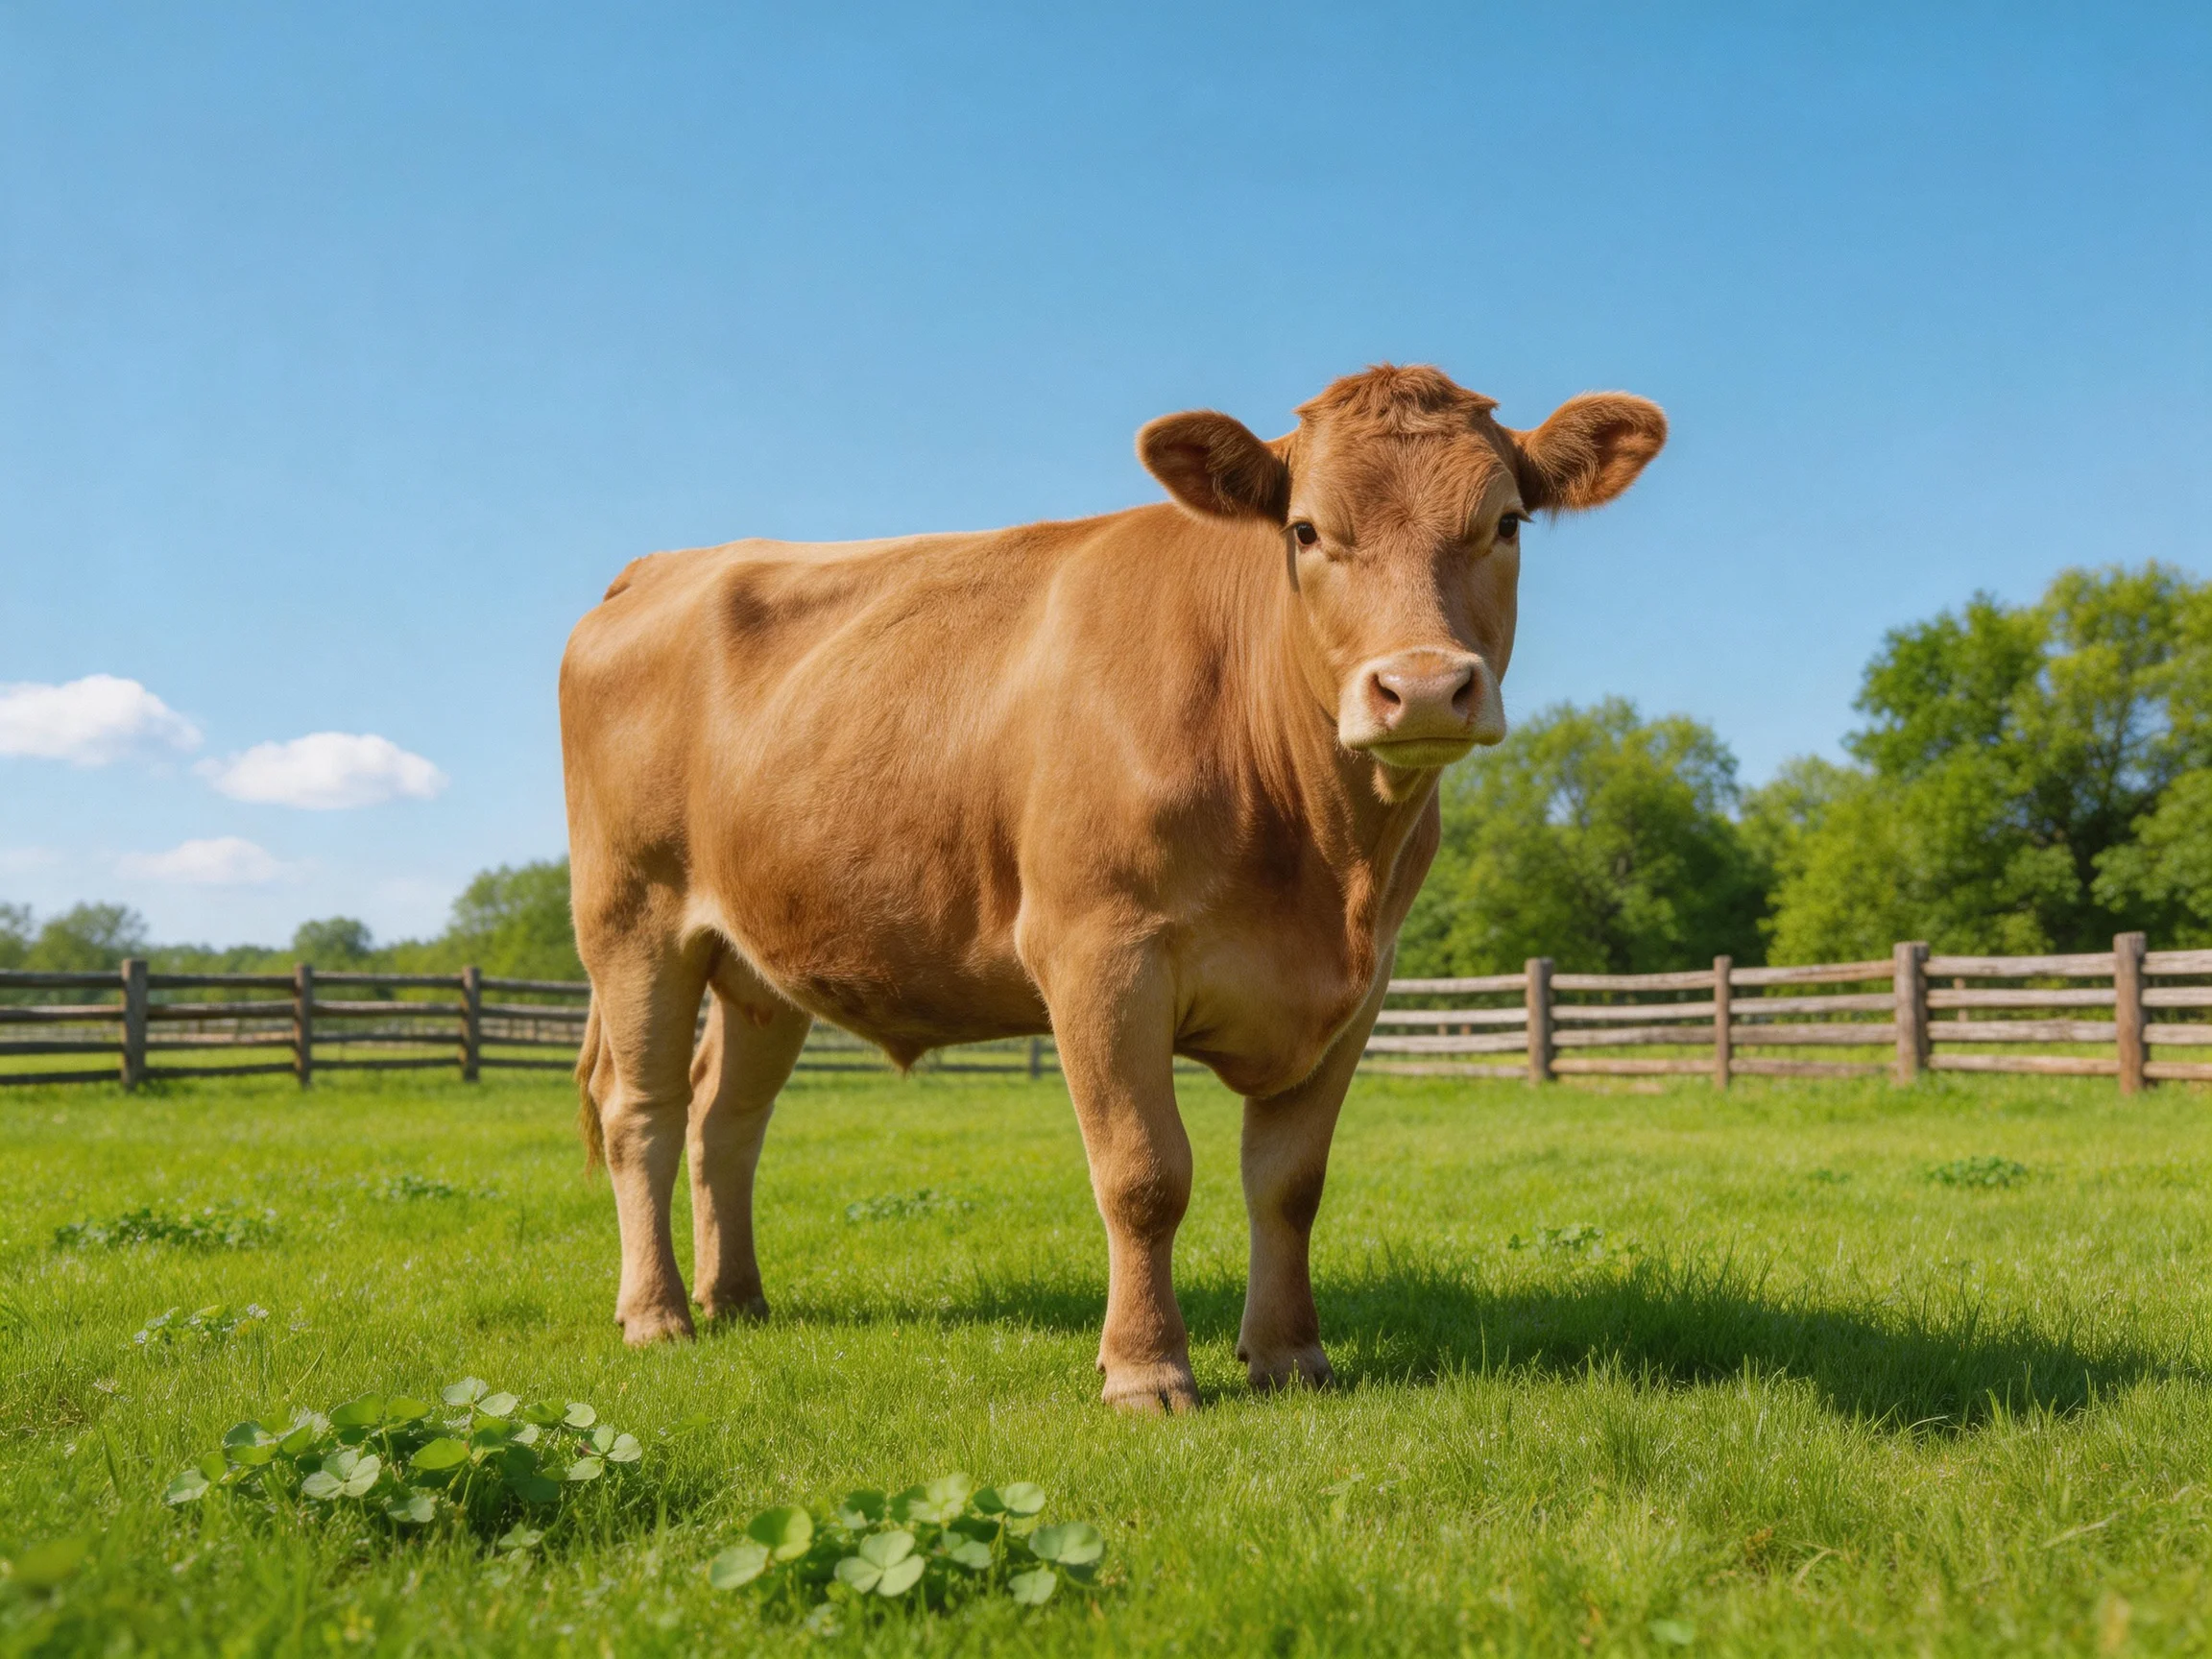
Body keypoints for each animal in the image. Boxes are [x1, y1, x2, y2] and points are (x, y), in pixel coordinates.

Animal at [562, 363, 1665, 1411]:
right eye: (1306, 530)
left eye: (1506, 523)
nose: (1426, 687)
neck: (1321, 859)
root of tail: (664, 566)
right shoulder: (1099, 955)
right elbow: (1144, 1175)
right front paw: (1145, 1370)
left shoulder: (1358, 988)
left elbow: (1290, 1185)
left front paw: (1290, 1355)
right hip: (633, 919)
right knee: (643, 1111)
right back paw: (657, 1313)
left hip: (759, 961)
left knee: (724, 1119)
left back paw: (736, 1298)